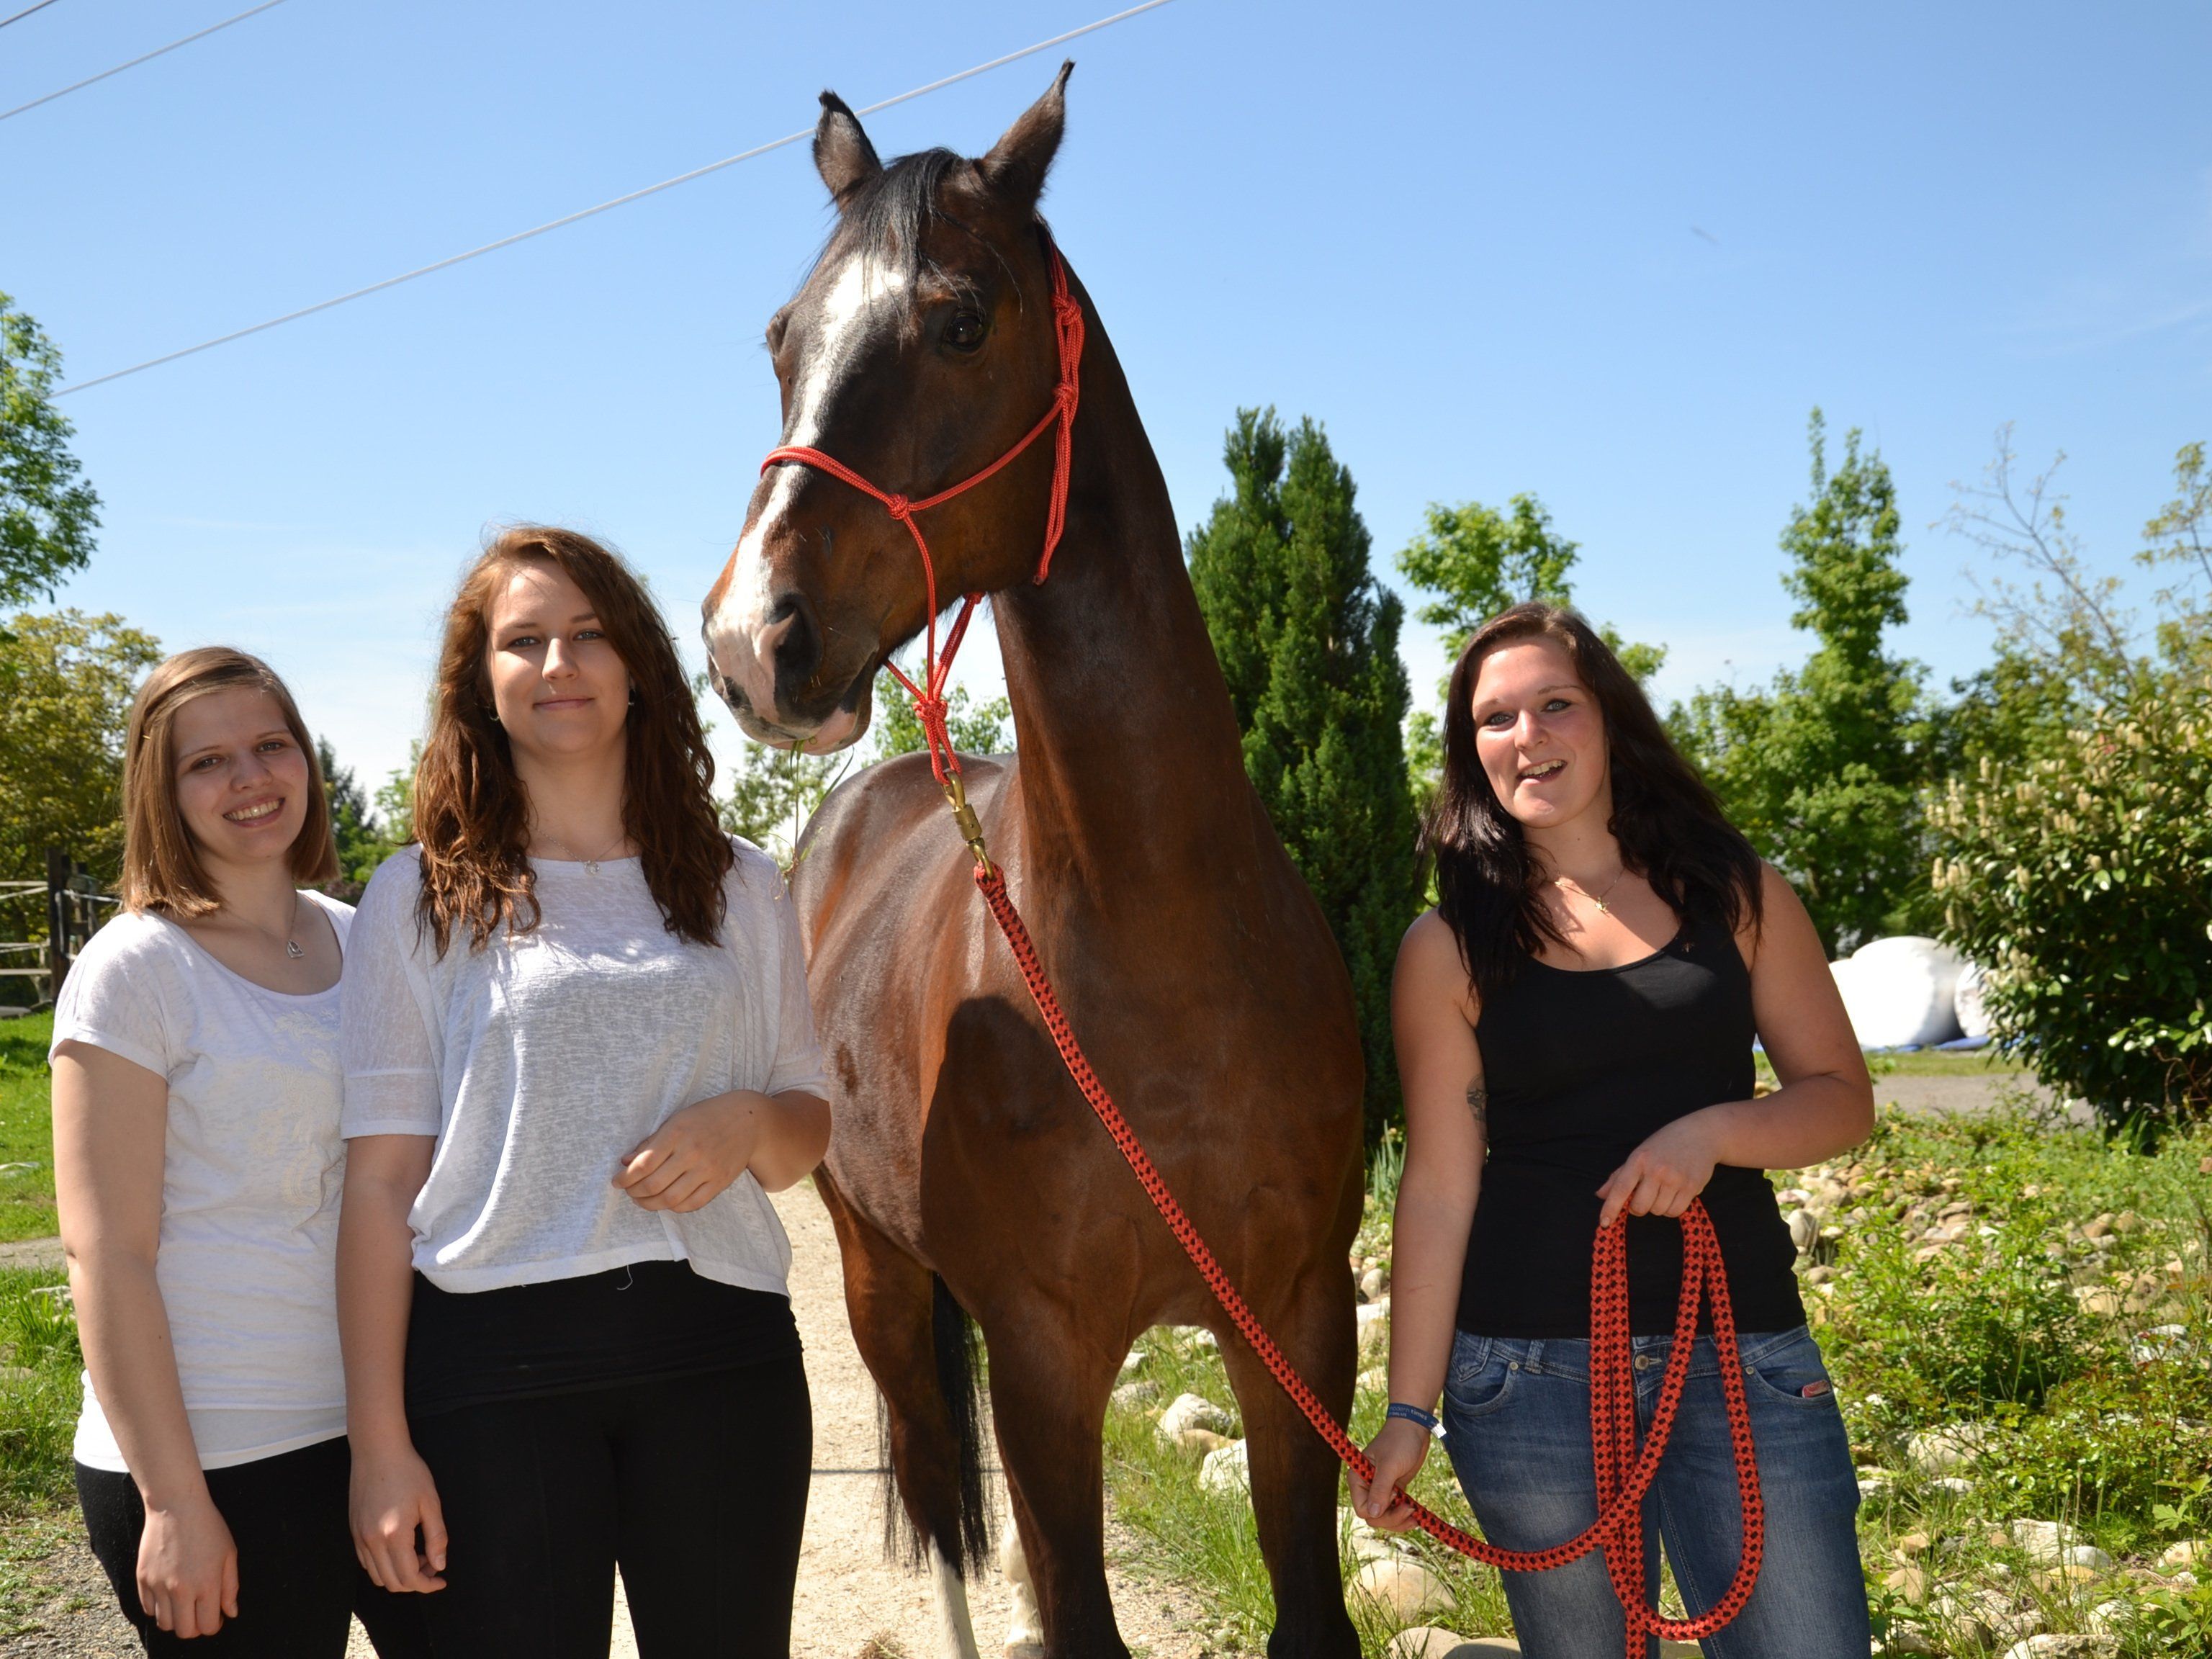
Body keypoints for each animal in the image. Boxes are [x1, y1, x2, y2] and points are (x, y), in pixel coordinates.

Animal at [708, 68, 1362, 1659]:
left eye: (961, 321)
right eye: (783, 340)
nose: (754, 639)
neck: (1160, 955)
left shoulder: (1300, 1330)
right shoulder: (1046, 1359)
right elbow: (1064, 1599)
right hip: (879, 1273)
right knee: (939, 1498)